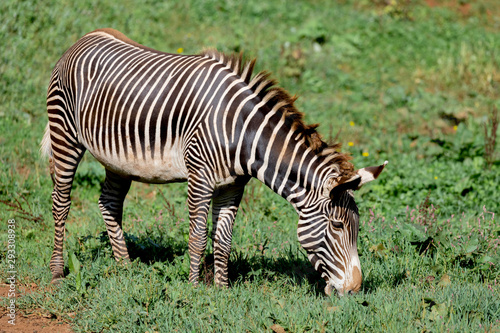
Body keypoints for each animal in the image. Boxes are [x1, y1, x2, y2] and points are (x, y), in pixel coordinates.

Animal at [41, 27, 388, 294]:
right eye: (337, 225)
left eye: (358, 227)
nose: (355, 289)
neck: (243, 135)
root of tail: (85, 37)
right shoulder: (200, 178)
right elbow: (197, 236)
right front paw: (195, 288)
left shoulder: (232, 186)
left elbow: (223, 240)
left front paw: (222, 289)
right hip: (65, 135)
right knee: (61, 203)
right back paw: (57, 272)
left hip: (117, 159)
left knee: (109, 203)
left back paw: (125, 267)